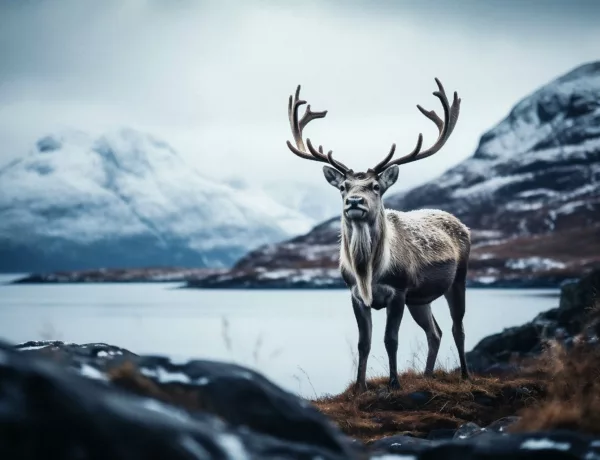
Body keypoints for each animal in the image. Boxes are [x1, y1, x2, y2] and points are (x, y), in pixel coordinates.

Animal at [284, 78, 472, 392]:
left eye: (375, 186)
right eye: (343, 186)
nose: (354, 202)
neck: (368, 271)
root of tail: (462, 224)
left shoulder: (398, 291)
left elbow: (390, 340)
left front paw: (394, 383)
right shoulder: (356, 295)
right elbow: (364, 342)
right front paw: (360, 386)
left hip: (458, 278)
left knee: (457, 327)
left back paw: (466, 375)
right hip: (420, 299)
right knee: (435, 332)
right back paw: (427, 375)